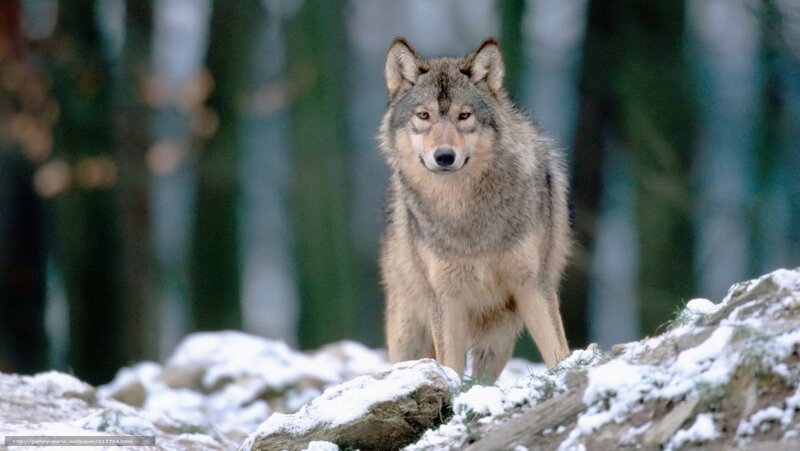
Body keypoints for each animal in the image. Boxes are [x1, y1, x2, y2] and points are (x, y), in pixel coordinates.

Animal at [378, 37, 572, 381]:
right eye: (424, 115)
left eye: (464, 115)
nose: (444, 156)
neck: (464, 212)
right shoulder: (446, 298)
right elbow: (450, 366)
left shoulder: (532, 284)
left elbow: (557, 350)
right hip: (408, 333)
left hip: (498, 338)